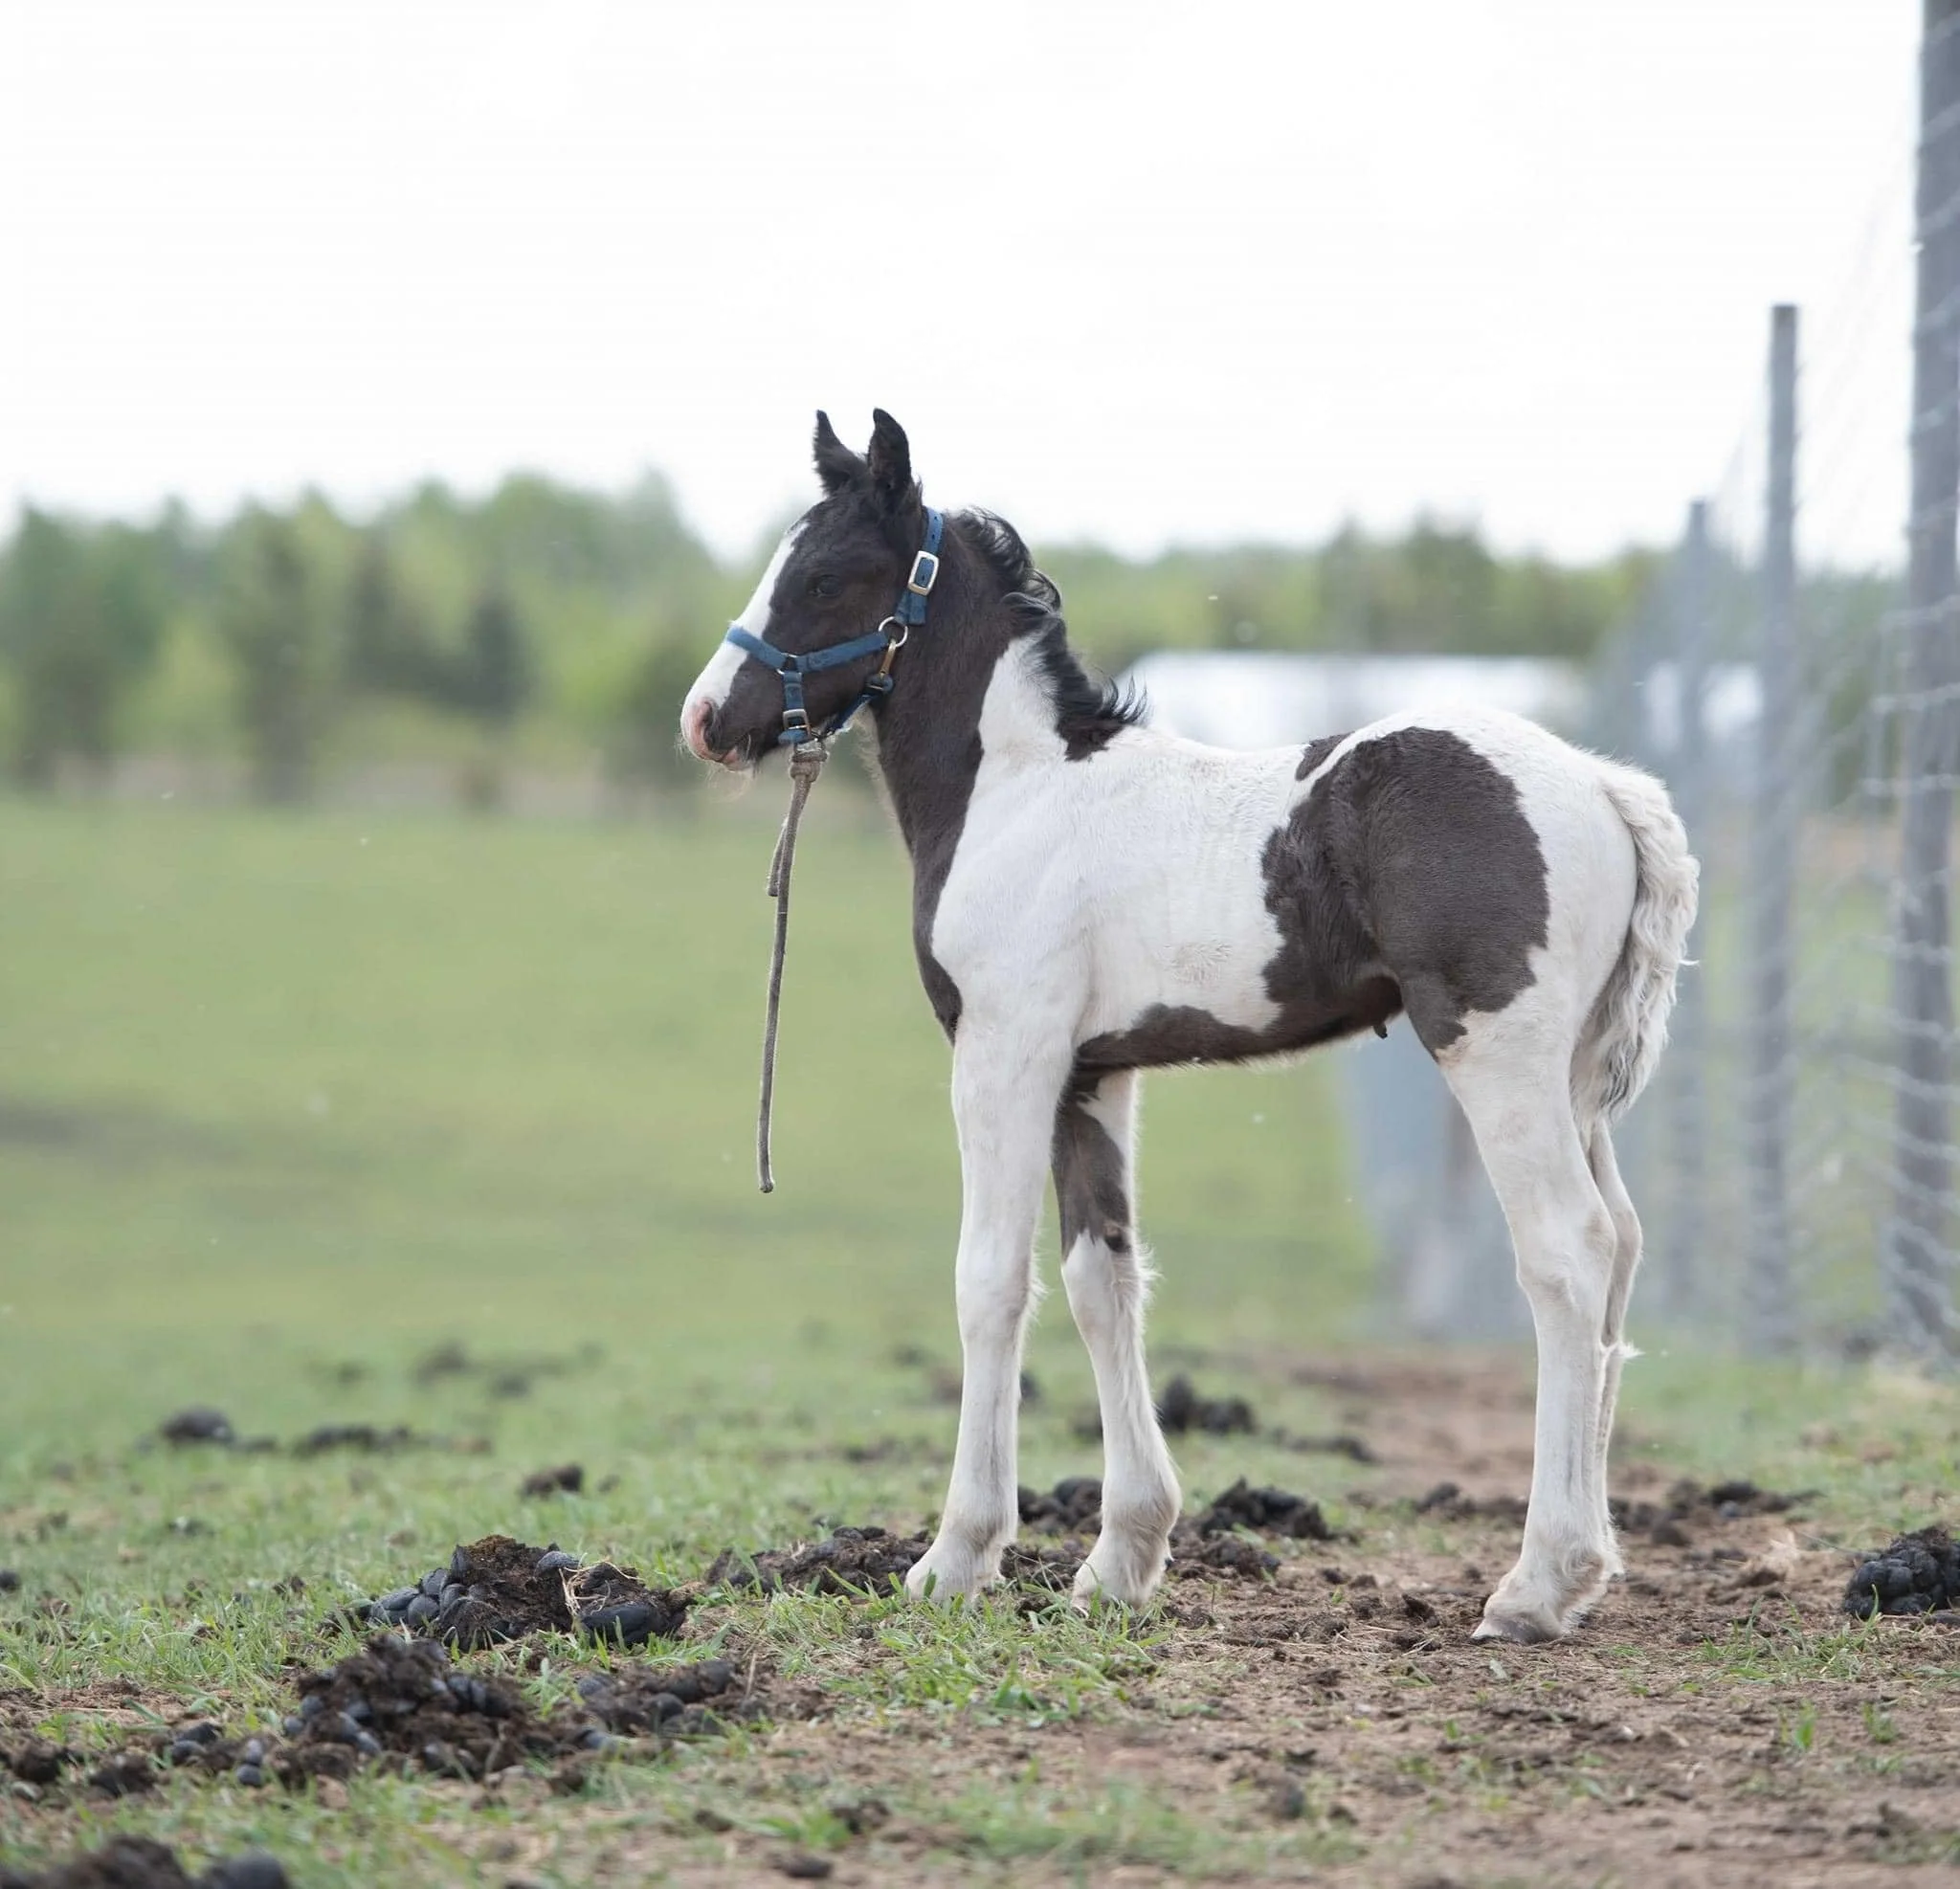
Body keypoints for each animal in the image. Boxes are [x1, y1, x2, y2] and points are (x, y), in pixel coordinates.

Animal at [681, 410, 1699, 1644]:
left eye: (826, 575)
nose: (704, 720)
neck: (1019, 792)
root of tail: (1601, 788)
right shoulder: (1092, 1073)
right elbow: (1100, 1280)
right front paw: (1122, 1556)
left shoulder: (1003, 1054)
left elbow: (989, 1280)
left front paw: (955, 1557)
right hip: (1573, 1075)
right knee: (1621, 1247)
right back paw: (1587, 1567)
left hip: (1495, 1054)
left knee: (1566, 1250)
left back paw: (1536, 1583)